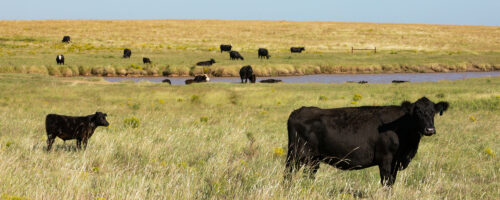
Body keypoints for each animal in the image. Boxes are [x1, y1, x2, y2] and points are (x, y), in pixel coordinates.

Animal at [286, 97, 450, 187]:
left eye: (433, 112)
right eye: (417, 113)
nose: (430, 129)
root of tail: (298, 111)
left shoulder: (395, 163)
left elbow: (391, 182)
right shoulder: (385, 160)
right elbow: (386, 183)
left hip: (313, 159)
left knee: (308, 175)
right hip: (296, 155)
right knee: (288, 174)